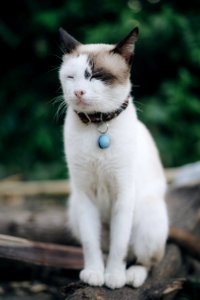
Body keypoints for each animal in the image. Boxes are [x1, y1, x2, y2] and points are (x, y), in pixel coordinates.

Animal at [58, 27, 169, 290]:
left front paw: (114, 277)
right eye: (71, 77)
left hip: (147, 219)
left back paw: (132, 276)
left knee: (144, 259)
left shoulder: (123, 194)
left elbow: (120, 244)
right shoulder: (85, 195)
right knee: (104, 246)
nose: (78, 92)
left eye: (97, 76)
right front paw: (94, 273)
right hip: (74, 209)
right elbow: (91, 243)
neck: (98, 124)